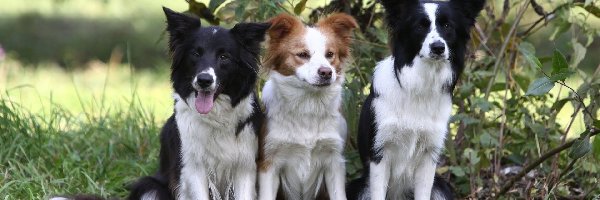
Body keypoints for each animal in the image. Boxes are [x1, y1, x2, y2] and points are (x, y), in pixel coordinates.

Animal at [258, 14, 356, 200]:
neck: (308, 104)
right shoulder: (269, 162)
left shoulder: (334, 161)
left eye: (330, 54)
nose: (326, 72)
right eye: (302, 55)